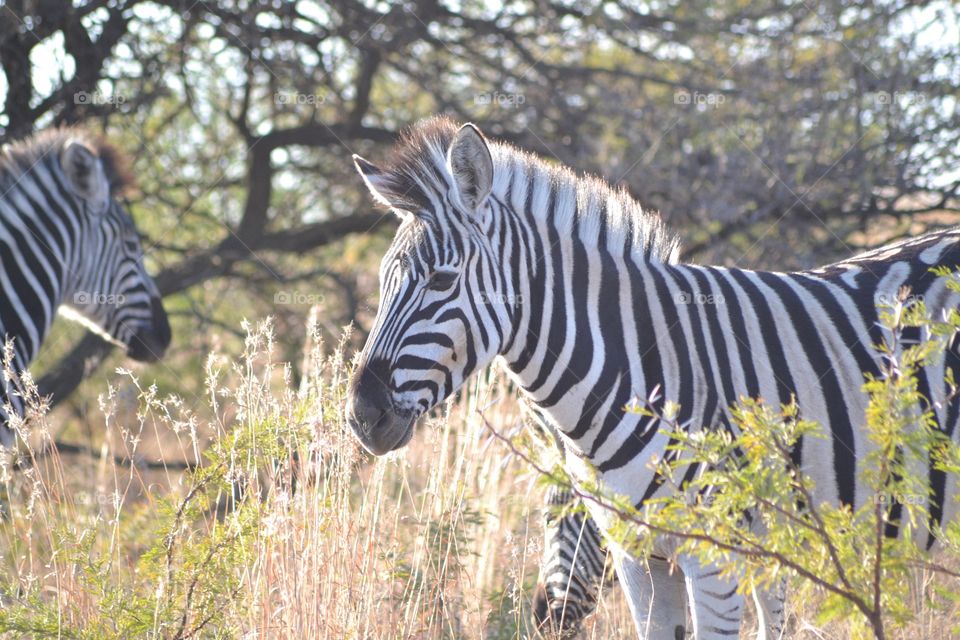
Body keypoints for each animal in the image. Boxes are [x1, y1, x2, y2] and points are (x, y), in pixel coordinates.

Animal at [345, 117, 958, 639]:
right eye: (383, 281)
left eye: (442, 282)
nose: (361, 415)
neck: (638, 366)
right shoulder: (638, 555)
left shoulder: (717, 557)